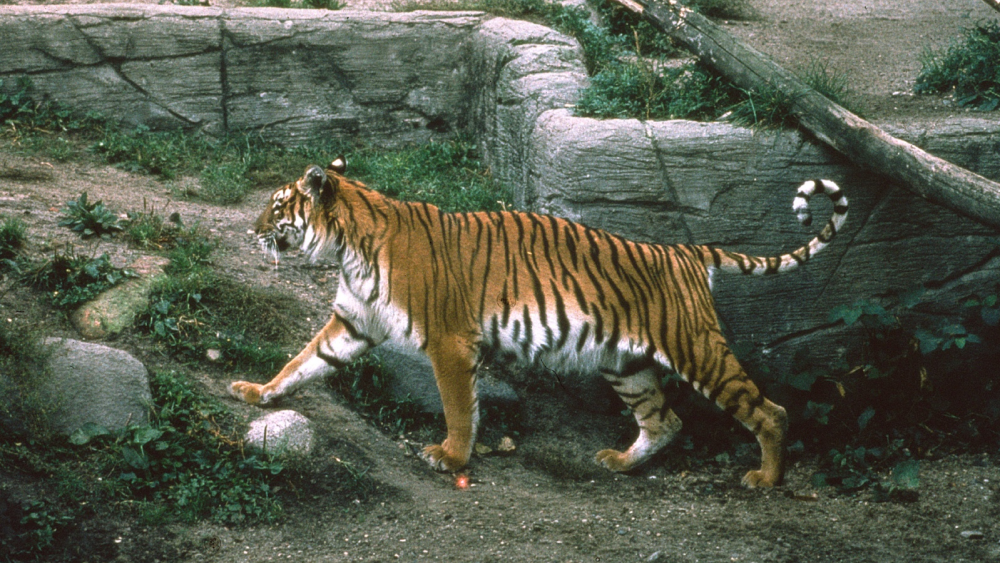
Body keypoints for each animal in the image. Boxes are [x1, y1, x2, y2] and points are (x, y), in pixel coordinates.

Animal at [230, 160, 848, 490]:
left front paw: (451, 458)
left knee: (769, 411)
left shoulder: (450, 342)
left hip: (696, 349)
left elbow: (460, 407)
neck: (347, 249)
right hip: (625, 364)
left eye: (278, 206)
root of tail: (687, 252)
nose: (250, 230)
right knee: (665, 420)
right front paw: (258, 391)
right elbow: (301, 362)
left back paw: (765, 479)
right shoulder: (353, 323)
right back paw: (619, 463)